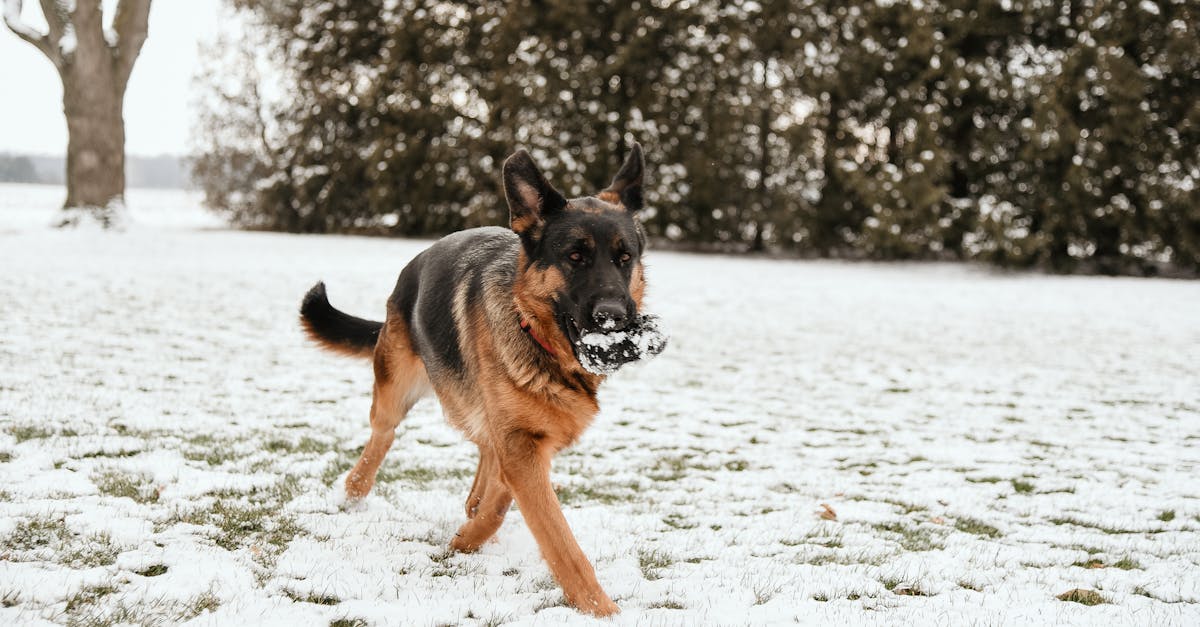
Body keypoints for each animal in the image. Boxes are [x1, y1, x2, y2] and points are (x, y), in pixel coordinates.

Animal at [296, 142, 648, 614]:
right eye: (575, 257)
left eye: (624, 258)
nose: (613, 318)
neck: (536, 335)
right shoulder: (520, 448)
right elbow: (558, 539)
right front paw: (600, 609)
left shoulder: (522, 443)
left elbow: (500, 500)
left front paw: (471, 533)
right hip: (398, 390)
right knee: (382, 436)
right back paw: (354, 491)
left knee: (481, 451)